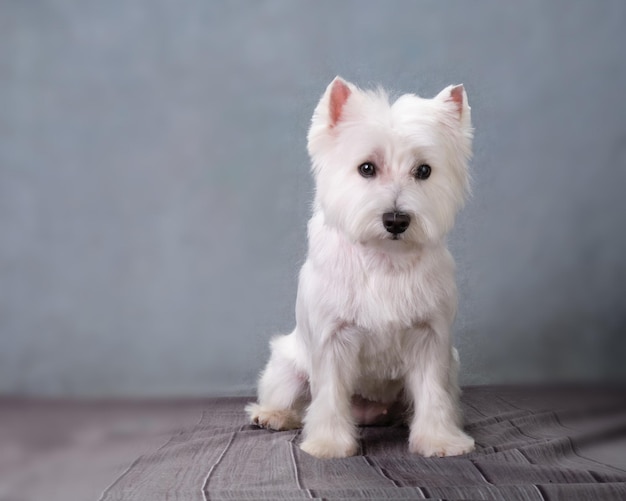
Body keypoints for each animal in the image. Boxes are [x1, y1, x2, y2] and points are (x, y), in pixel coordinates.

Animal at [244, 77, 472, 458]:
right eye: (367, 168)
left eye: (424, 170)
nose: (396, 220)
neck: (384, 258)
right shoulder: (333, 338)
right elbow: (330, 395)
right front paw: (329, 444)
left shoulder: (430, 338)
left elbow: (432, 392)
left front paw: (440, 439)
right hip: (286, 368)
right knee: (291, 399)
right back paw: (272, 415)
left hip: (452, 365)